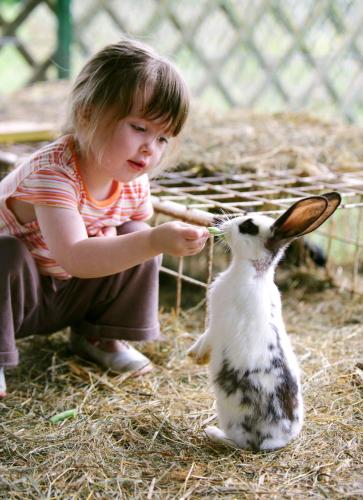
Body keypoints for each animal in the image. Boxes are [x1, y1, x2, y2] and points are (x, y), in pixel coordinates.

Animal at [189, 192, 342, 454]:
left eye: (247, 227)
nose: (221, 223)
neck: (254, 272)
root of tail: (274, 440)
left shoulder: (217, 323)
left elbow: (206, 337)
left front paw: (195, 356)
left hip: (232, 419)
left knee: (239, 444)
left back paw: (212, 432)